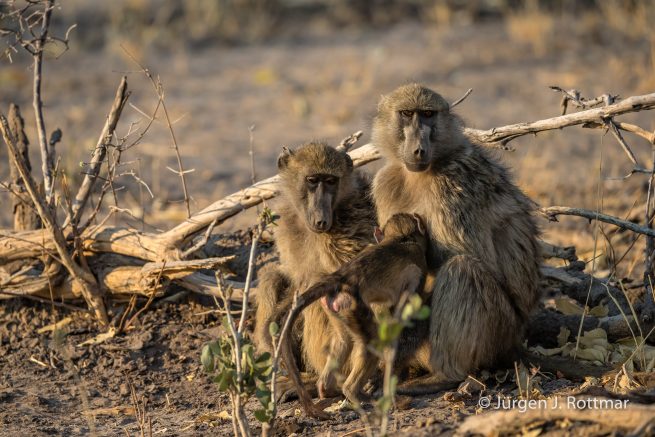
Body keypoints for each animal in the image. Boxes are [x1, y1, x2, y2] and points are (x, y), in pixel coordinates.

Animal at [252, 141, 377, 415]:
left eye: (331, 181)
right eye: (312, 180)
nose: (321, 219)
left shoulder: (342, 236)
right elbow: (293, 279)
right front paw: (272, 328)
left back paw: (317, 384)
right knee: (271, 275)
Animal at [271, 212, 432, 412]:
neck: (400, 238)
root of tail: (340, 278)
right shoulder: (418, 267)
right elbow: (404, 311)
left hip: (334, 308)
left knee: (343, 342)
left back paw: (327, 388)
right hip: (352, 306)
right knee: (372, 343)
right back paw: (358, 393)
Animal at [371, 84, 542, 385]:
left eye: (428, 115)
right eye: (407, 114)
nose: (418, 149)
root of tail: (515, 342)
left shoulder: (452, 186)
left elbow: (469, 257)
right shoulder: (385, 182)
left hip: (500, 328)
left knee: (462, 269)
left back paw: (444, 376)